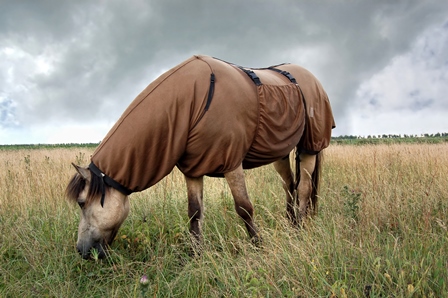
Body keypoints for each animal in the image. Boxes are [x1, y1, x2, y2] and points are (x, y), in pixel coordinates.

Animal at [65, 55, 334, 258]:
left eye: (81, 202)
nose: (81, 251)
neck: (196, 100)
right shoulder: (194, 168)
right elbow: (194, 212)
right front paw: (196, 255)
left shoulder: (231, 163)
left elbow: (244, 208)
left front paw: (258, 245)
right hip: (280, 152)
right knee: (289, 184)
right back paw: (290, 223)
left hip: (310, 148)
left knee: (304, 188)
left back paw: (300, 227)